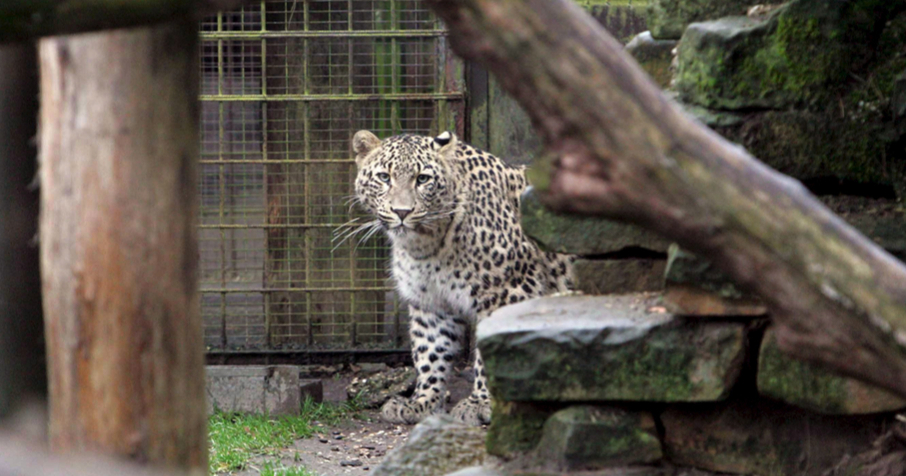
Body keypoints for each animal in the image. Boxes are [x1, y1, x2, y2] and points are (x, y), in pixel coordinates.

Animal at [351, 129, 573, 426]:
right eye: (384, 177)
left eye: (423, 179)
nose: (402, 212)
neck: (426, 244)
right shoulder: (430, 302)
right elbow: (429, 352)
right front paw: (421, 402)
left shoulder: (508, 291)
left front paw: (481, 403)